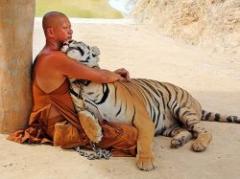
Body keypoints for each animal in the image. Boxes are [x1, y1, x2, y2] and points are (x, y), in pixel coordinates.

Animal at [61, 39, 240, 171]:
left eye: (76, 41)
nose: (67, 41)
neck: (82, 83)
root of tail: (194, 100)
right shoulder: (80, 108)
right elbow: (83, 116)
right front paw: (95, 134)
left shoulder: (142, 118)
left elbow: (144, 140)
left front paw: (145, 161)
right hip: (169, 127)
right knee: (187, 131)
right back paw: (178, 141)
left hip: (181, 109)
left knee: (203, 130)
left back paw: (199, 144)